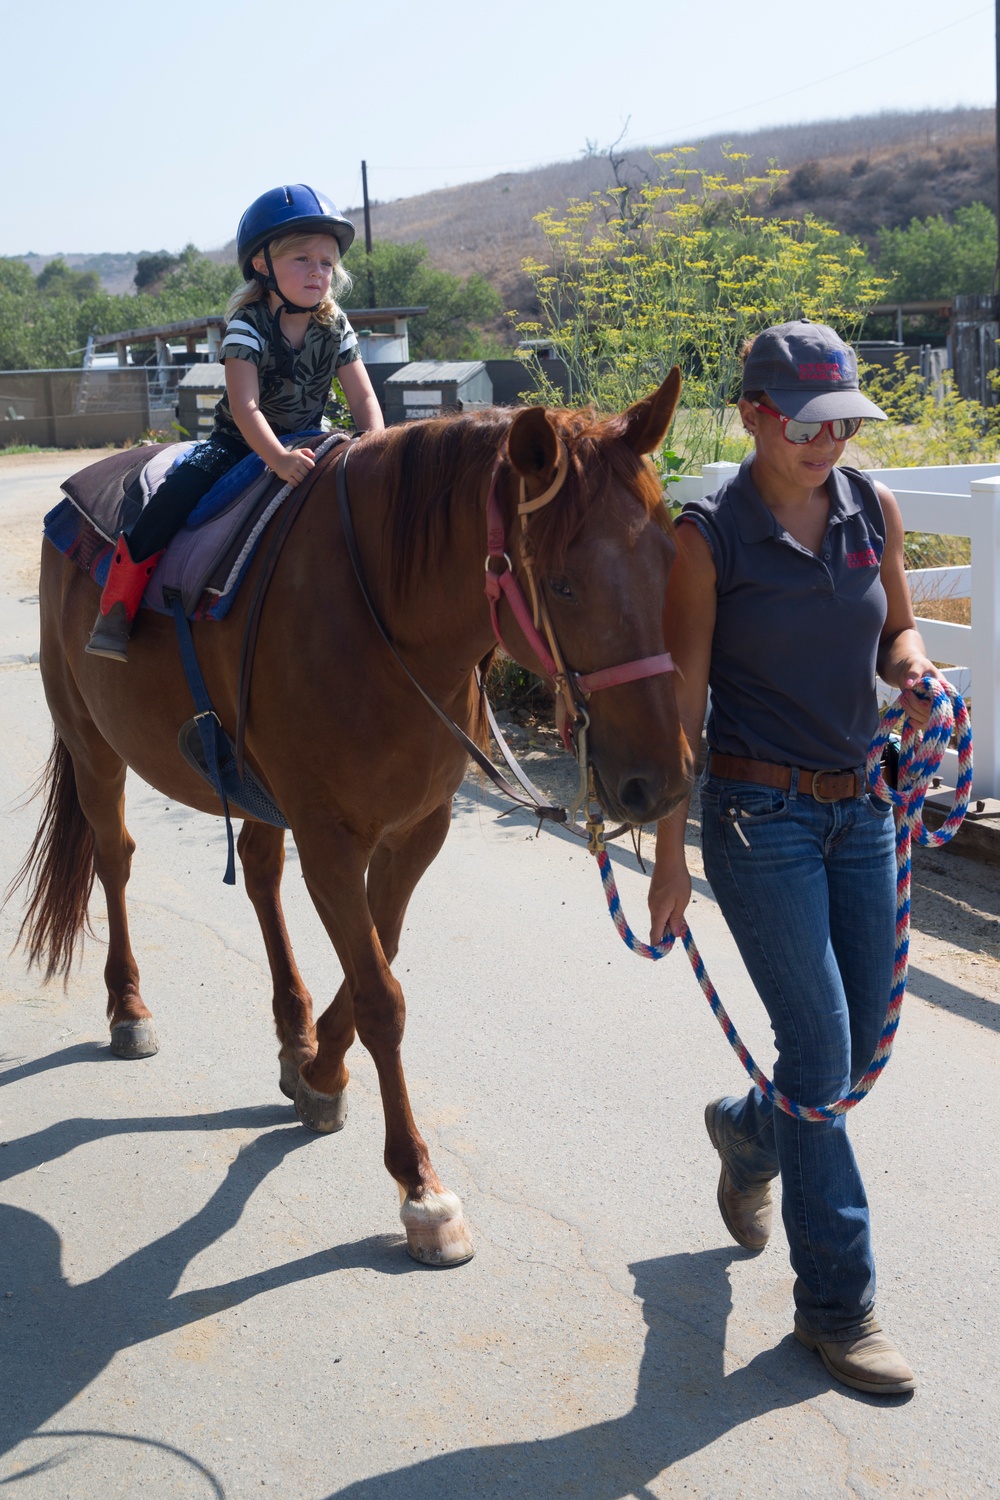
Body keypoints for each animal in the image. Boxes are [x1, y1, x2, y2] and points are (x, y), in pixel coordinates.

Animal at [15, 369, 692, 1260]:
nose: (660, 783)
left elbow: (380, 951)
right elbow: (381, 997)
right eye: (564, 583)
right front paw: (420, 1187)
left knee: (259, 873)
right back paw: (129, 1009)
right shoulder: (332, 838)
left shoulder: (417, 829)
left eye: (668, 561)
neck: (387, 622)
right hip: (93, 745)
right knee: (114, 858)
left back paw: (292, 1030)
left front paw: (317, 1071)